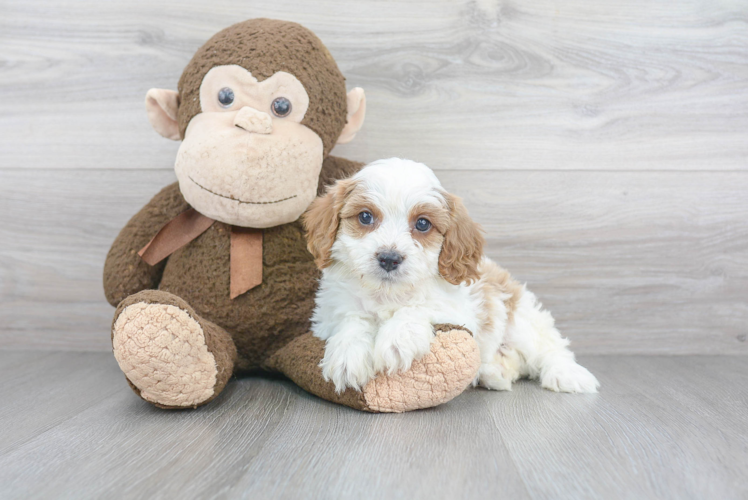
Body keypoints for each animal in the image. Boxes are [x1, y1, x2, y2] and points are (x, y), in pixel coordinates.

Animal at [300, 159, 600, 394]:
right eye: (365, 217)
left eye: (422, 223)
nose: (389, 258)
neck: (388, 293)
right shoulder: (328, 314)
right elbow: (353, 318)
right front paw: (347, 355)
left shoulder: (459, 310)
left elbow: (420, 307)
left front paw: (397, 338)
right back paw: (494, 373)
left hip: (522, 320)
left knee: (549, 348)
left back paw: (565, 374)